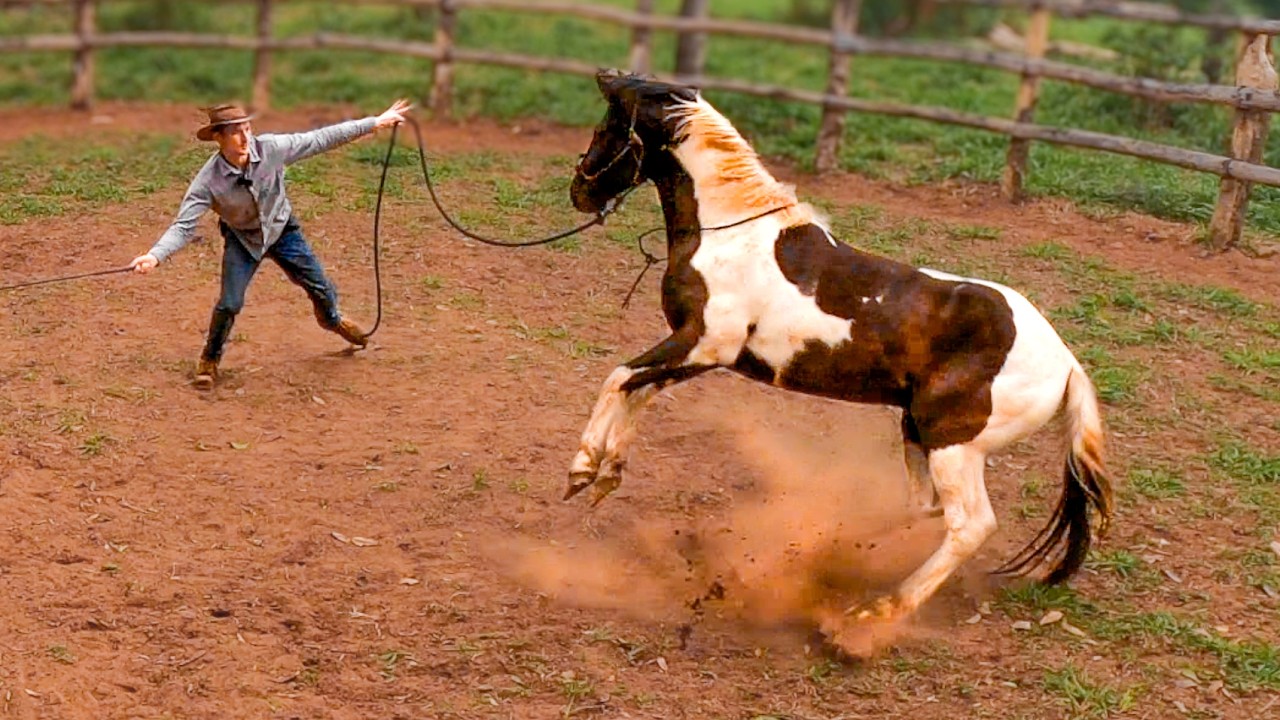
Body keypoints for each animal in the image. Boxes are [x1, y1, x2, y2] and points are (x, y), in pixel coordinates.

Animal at [564, 70, 1112, 633]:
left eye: (608, 126)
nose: (579, 189)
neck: (733, 235)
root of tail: (1067, 364)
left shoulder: (705, 343)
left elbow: (618, 377)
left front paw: (582, 469)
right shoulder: (697, 353)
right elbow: (638, 391)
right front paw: (607, 475)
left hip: (954, 444)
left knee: (969, 525)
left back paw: (872, 614)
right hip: (916, 430)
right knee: (924, 510)